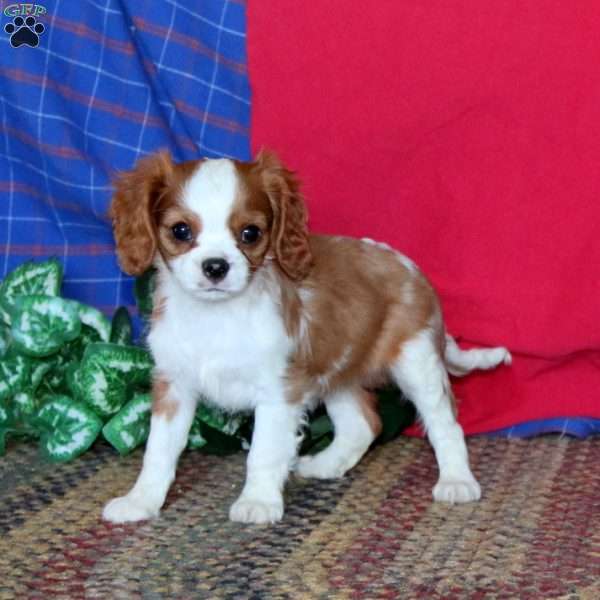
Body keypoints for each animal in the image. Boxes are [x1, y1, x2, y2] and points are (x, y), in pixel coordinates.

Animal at [102, 150, 510, 524]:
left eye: (250, 234)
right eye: (181, 231)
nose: (215, 267)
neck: (216, 315)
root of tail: (411, 270)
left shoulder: (279, 391)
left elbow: (263, 451)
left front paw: (258, 502)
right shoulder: (174, 385)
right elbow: (159, 450)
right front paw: (141, 501)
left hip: (417, 362)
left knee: (445, 424)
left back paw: (457, 481)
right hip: (336, 372)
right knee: (363, 424)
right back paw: (326, 466)